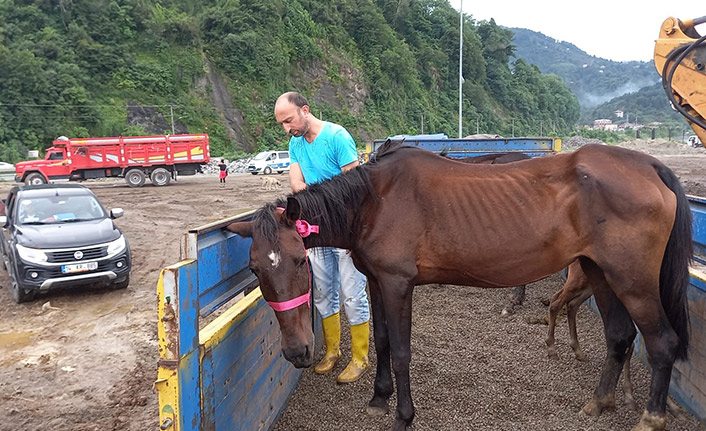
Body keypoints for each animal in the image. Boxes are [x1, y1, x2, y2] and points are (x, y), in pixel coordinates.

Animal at [226, 142, 688, 431]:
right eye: (255, 269)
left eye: (299, 261)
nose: (297, 352)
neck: (374, 201)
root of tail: (651, 167)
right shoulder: (376, 281)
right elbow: (383, 342)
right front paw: (378, 400)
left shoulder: (398, 284)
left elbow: (402, 351)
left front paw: (403, 416)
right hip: (598, 273)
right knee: (619, 337)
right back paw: (598, 402)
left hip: (632, 281)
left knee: (661, 343)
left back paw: (650, 418)